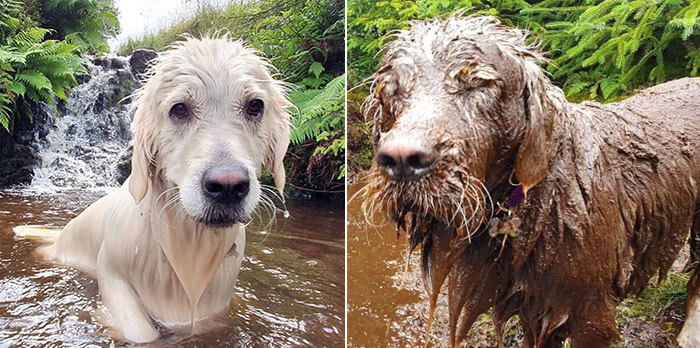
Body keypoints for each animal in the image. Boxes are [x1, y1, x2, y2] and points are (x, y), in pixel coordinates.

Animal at [14, 36, 292, 342]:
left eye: (255, 106)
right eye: (179, 109)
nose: (228, 186)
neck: (186, 241)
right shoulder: (113, 274)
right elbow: (141, 332)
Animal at [364, 14, 700, 346]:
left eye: (477, 85)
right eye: (390, 92)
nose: (401, 161)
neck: (545, 198)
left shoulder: (592, 314)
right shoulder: (534, 307)